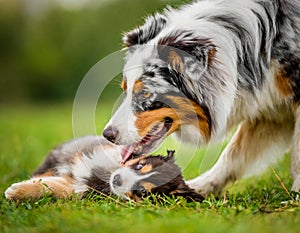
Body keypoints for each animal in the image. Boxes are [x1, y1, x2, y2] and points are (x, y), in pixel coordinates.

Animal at [4, 137, 203, 202]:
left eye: (143, 192)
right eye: (139, 166)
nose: (117, 180)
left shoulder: (80, 188)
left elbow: (53, 187)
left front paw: (15, 192)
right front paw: (16, 190)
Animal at [103, 0, 300, 197]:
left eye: (145, 92)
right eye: (125, 89)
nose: (107, 135)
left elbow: (296, 155)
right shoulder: (269, 112)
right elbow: (232, 154)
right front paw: (198, 187)